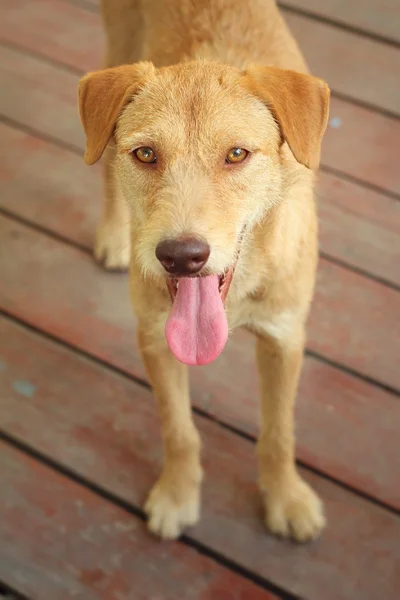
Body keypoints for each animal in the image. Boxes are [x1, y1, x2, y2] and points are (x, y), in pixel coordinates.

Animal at [77, 0, 328, 540]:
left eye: (236, 154)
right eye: (145, 153)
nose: (180, 255)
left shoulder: (284, 337)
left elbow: (279, 432)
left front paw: (287, 498)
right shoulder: (155, 339)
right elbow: (179, 430)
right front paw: (177, 494)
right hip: (117, 48)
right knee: (101, 161)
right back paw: (113, 233)